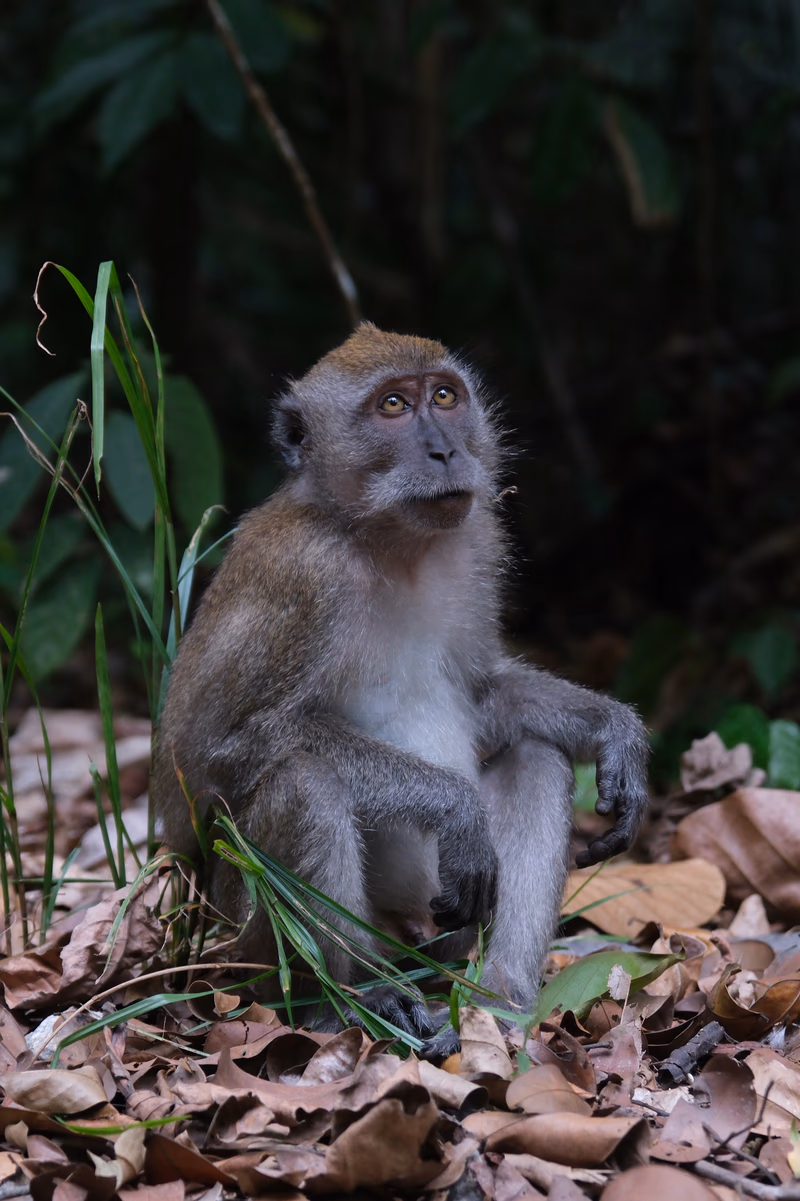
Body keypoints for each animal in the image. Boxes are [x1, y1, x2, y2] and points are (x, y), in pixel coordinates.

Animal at [153, 321, 649, 1050]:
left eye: (443, 396)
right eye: (392, 406)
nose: (444, 450)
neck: (389, 540)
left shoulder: (477, 539)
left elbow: (483, 692)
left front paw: (614, 729)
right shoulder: (302, 579)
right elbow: (217, 749)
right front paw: (454, 808)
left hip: (440, 929)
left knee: (536, 758)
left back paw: (498, 997)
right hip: (248, 940)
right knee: (306, 784)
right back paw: (352, 1000)